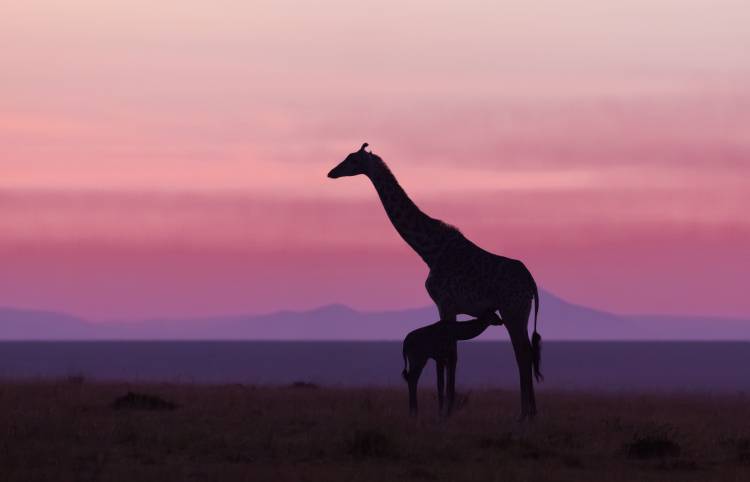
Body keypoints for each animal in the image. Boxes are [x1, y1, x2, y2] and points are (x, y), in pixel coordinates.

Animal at [330, 142, 548, 418]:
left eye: (352, 159)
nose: (331, 173)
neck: (430, 250)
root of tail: (531, 282)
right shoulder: (447, 307)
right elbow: (448, 355)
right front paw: (446, 407)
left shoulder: (446, 303)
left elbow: (451, 355)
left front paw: (447, 410)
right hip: (520, 310)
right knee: (527, 352)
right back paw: (530, 413)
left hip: (513, 310)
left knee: (522, 352)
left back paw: (524, 414)